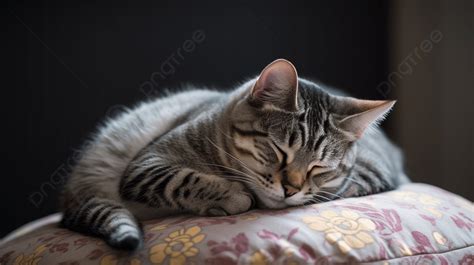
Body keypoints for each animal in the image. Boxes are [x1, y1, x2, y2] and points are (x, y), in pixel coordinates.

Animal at [58, 58, 408, 250]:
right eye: (279, 151)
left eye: (320, 167)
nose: (291, 189)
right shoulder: (147, 164)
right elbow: (181, 179)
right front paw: (231, 195)